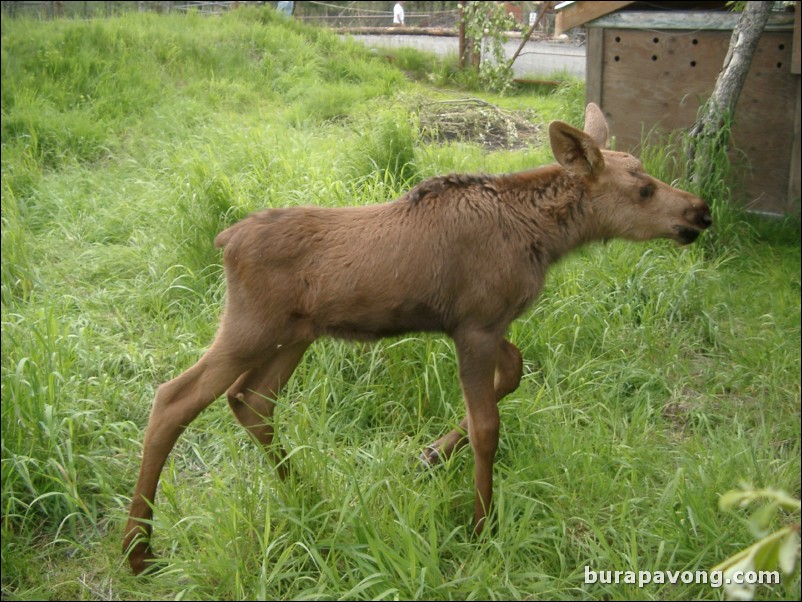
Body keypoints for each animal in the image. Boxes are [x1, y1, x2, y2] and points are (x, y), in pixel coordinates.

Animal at [122, 103, 708, 572]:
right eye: (643, 188)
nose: (699, 211)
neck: (543, 238)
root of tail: (223, 240)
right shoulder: (475, 325)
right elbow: (487, 427)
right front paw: (481, 527)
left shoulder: (484, 325)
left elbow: (514, 371)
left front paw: (428, 456)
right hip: (250, 327)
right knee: (173, 399)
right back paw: (138, 550)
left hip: (294, 336)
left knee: (250, 400)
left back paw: (310, 494)